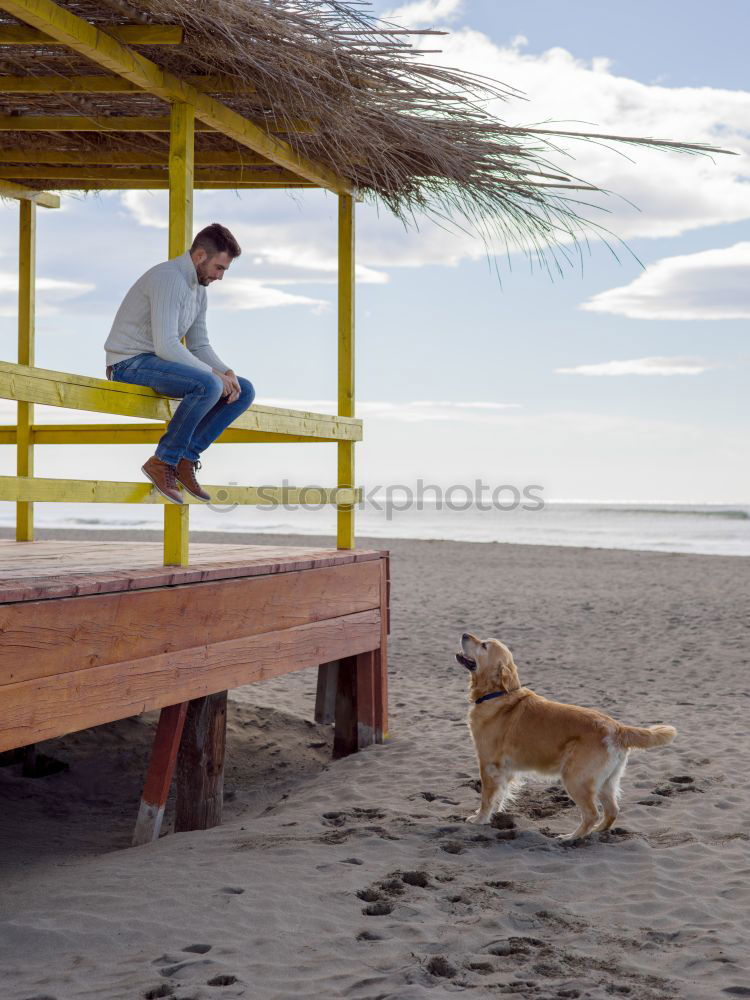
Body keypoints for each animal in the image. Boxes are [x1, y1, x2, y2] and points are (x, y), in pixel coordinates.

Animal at [456, 636, 680, 840]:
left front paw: (479, 819)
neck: (497, 695)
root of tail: (617, 727)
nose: (465, 634)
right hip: (606, 782)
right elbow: (499, 795)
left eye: (484, 645)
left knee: (591, 814)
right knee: (612, 811)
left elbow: (487, 797)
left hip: (575, 779)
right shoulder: (505, 769)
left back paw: (571, 837)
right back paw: (597, 831)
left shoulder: (488, 764)